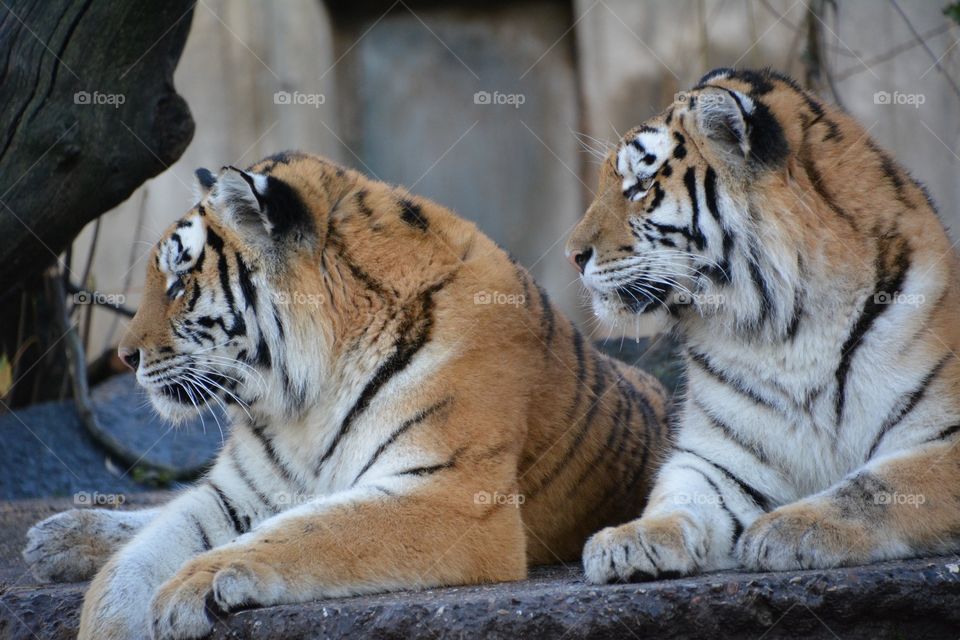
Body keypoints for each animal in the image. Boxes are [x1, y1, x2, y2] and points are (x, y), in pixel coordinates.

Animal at [22, 151, 668, 639]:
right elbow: (131, 566)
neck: (304, 401)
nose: (125, 357)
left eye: (179, 283)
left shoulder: (452, 494)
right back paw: (57, 537)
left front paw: (192, 584)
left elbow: (311, 531)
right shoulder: (233, 494)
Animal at [566, 67, 960, 584]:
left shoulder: (944, 434)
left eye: (641, 184)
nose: (572, 256)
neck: (784, 327)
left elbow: (879, 485)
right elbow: (680, 495)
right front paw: (627, 540)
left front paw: (790, 529)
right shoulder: (721, 460)